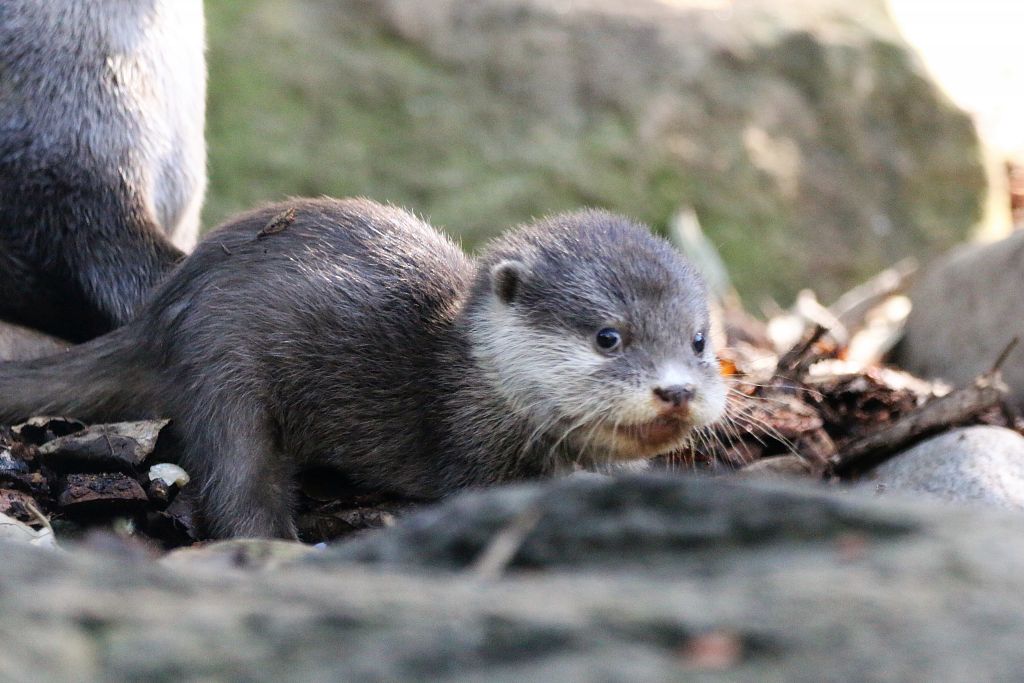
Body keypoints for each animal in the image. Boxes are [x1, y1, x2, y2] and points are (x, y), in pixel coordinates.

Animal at [0, 198, 725, 538]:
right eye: (609, 336)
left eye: (698, 340)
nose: (676, 390)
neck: (471, 385)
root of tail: (160, 313)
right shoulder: (474, 456)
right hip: (222, 372)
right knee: (237, 483)